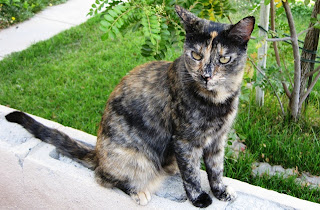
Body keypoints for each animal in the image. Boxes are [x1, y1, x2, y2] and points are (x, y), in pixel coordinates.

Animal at [5, 5, 255, 208]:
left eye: (224, 59)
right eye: (195, 55)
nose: (205, 75)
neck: (218, 100)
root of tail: (97, 154)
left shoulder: (218, 139)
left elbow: (215, 168)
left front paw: (220, 191)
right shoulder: (185, 140)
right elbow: (192, 173)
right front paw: (199, 198)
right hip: (137, 159)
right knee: (103, 177)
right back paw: (139, 191)